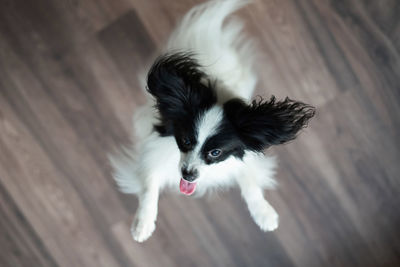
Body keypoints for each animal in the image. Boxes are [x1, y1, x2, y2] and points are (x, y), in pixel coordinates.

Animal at [109, 0, 316, 243]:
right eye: (186, 141)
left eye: (216, 153)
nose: (188, 175)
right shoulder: (153, 154)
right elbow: (149, 184)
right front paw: (143, 224)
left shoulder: (241, 159)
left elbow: (249, 182)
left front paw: (264, 214)